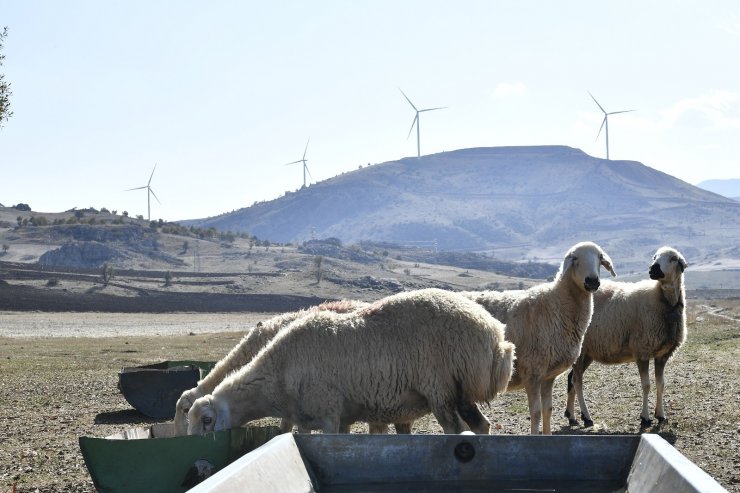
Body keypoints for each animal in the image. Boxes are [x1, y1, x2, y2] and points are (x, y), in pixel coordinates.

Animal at [466, 240, 616, 432]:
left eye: (599, 257)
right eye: (575, 258)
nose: (592, 281)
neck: (555, 304)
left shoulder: (548, 375)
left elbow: (548, 410)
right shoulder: (532, 373)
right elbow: (536, 412)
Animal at [568, 246, 688, 426]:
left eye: (673, 258)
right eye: (654, 257)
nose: (653, 269)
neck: (663, 302)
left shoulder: (662, 354)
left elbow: (661, 384)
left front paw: (661, 415)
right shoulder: (642, 350)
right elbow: (646, 385)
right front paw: (645, 417)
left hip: (588, 352)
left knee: (571, 379)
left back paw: (571, 416)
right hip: (580, 350)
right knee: (577, 381)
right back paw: (586, 417)